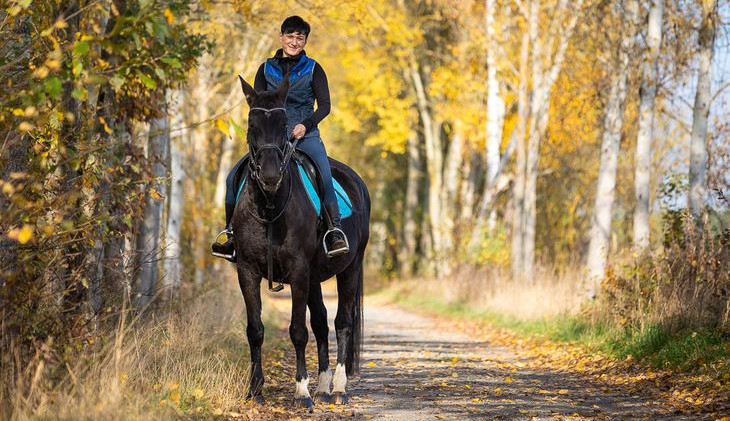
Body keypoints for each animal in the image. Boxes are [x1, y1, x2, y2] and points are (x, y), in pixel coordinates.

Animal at [233, 74, 366, 406]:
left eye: (283, 125)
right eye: (252, 124)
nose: (270, 176)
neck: (270, 207)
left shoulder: (298, 271)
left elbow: (297, 331)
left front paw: (301, 391)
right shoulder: (247, 270)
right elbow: (255, 329)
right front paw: (255, 390)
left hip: (350, 268)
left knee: (342, 322)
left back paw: (339, 389)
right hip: (316, 277)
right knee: (320, 321)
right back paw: (323, 387)